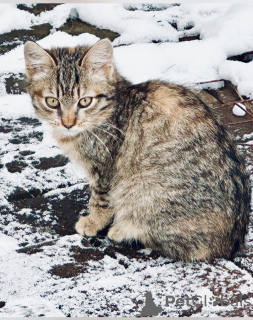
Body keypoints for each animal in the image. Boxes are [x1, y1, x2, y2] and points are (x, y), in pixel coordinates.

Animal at [24, 38, 250, 262]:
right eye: (52, 102)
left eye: (85, 101)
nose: (68, 123)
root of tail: (231, 243)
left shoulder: (105, 167)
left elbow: (100, 199)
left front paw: (93, 221)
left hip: (146, 190)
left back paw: (122, 230)